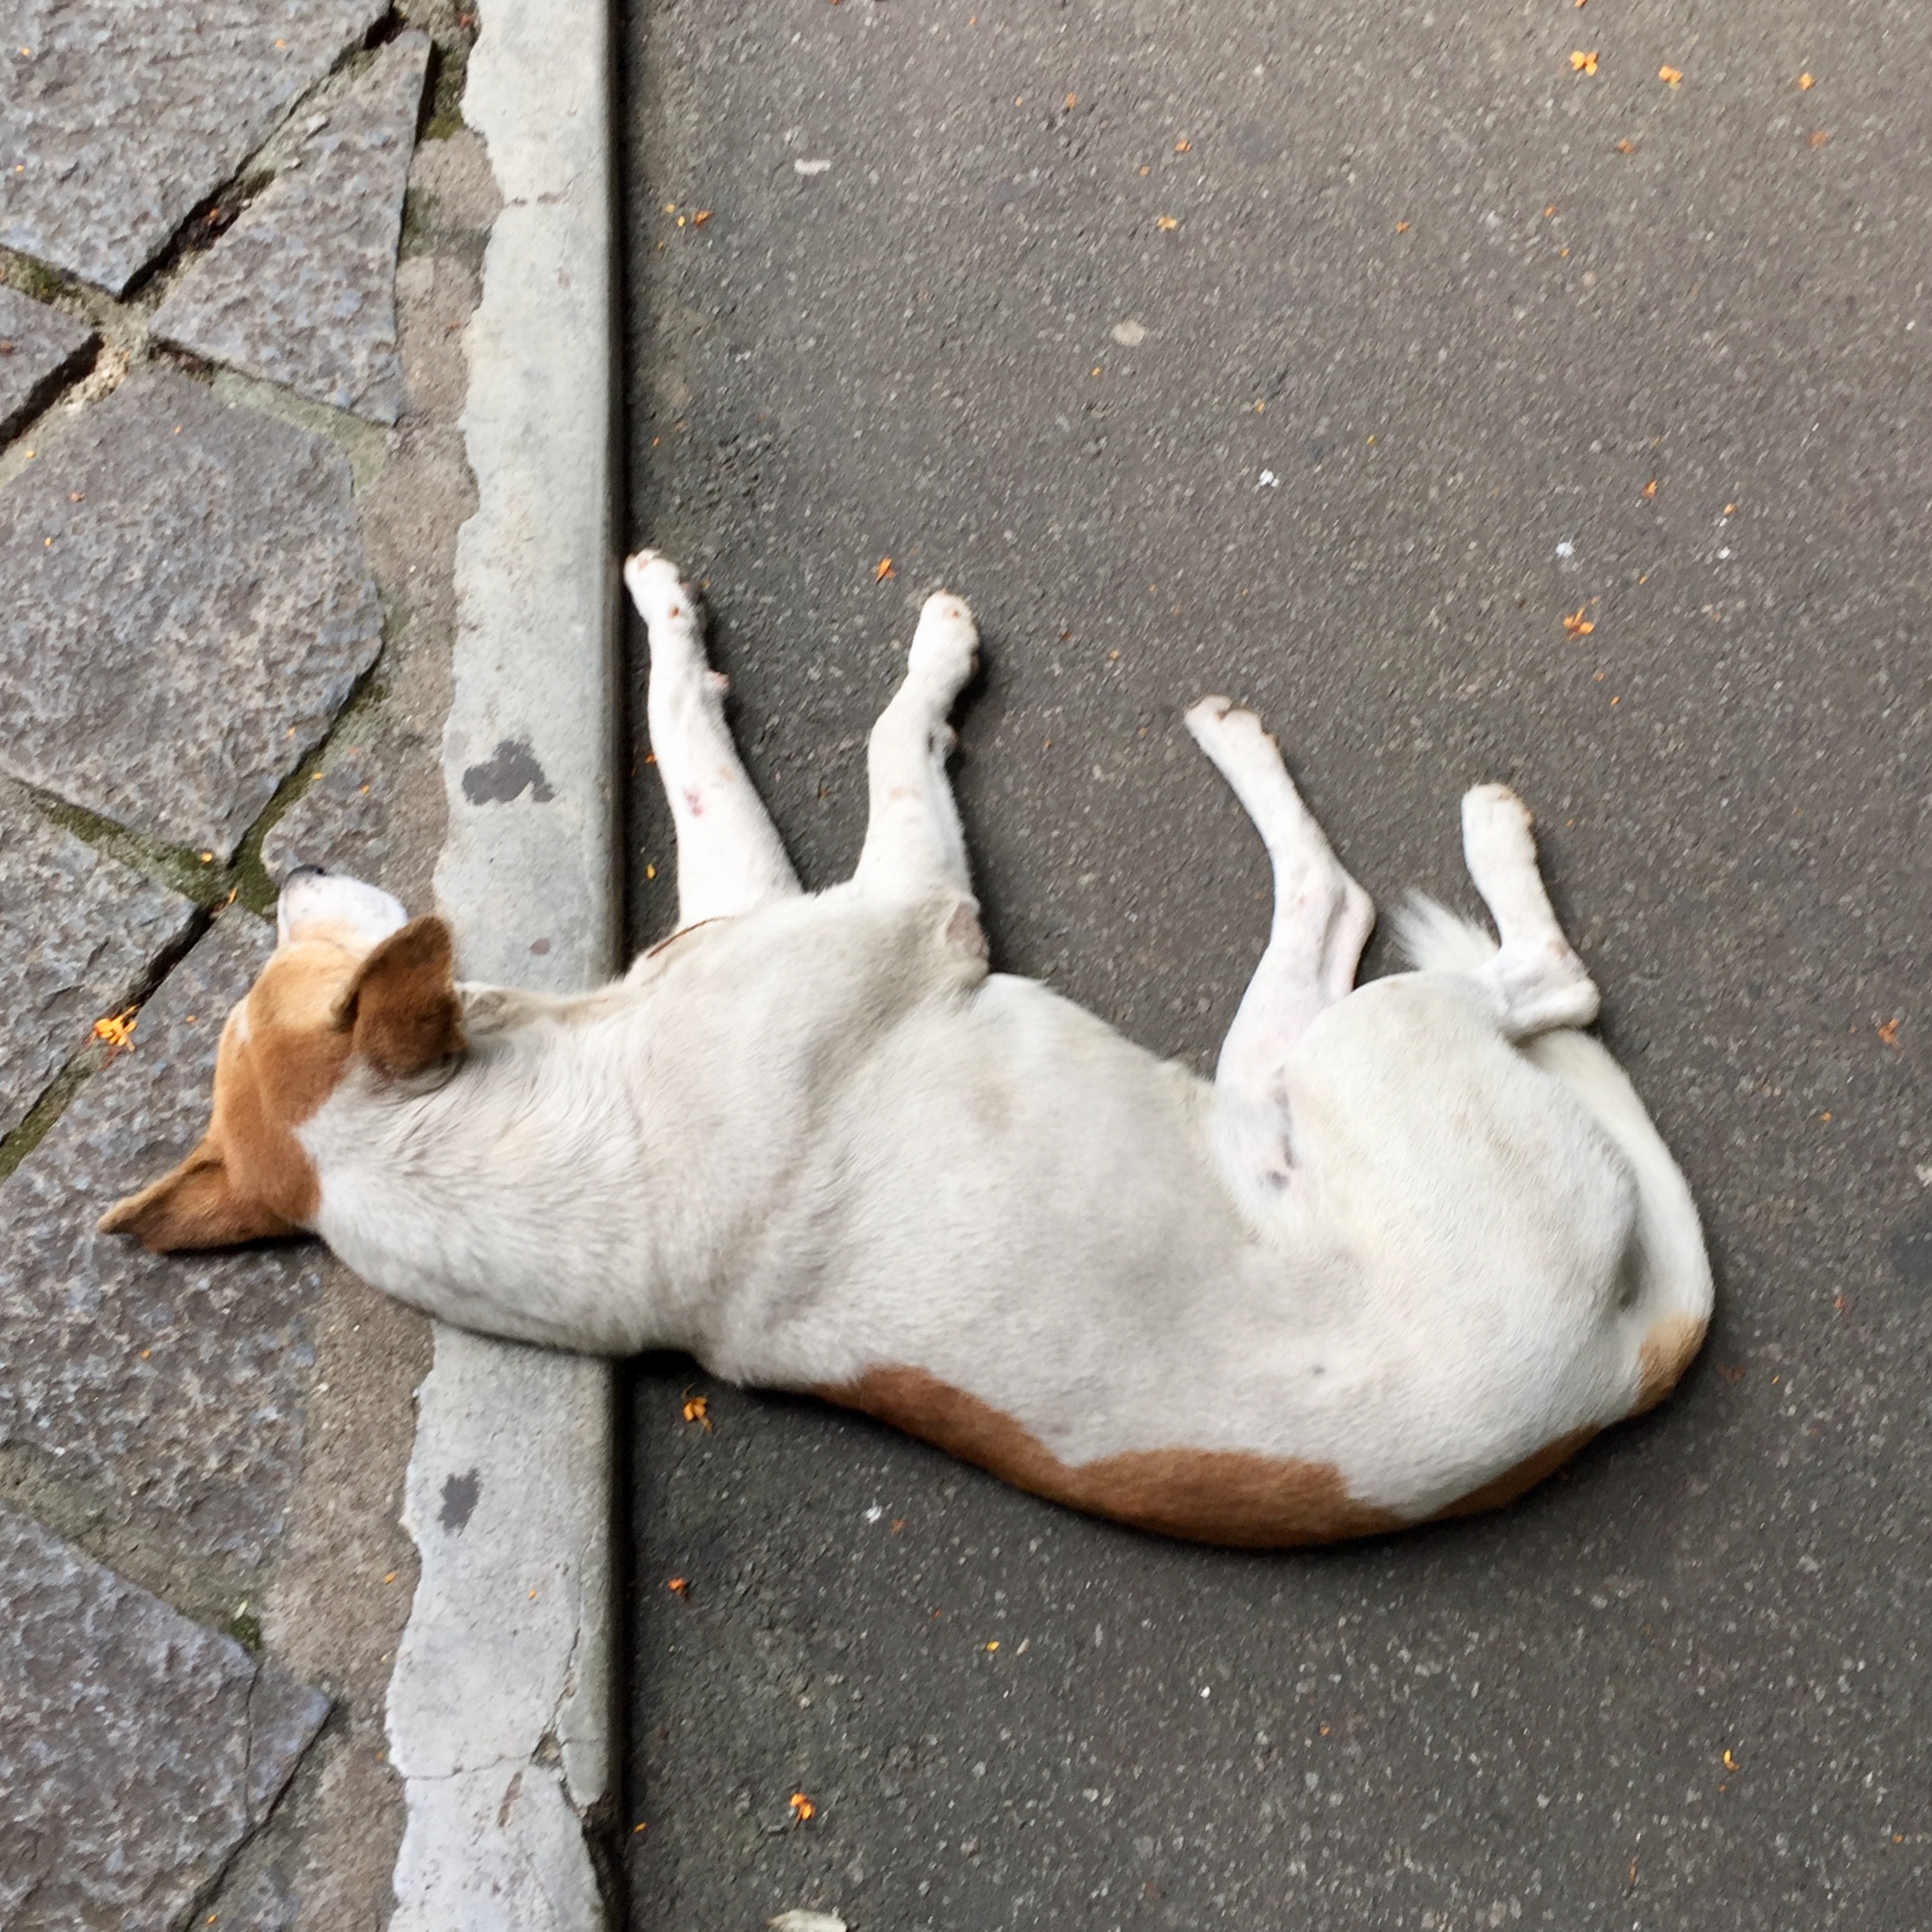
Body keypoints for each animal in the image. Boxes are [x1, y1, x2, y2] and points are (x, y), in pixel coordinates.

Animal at [101, 551, 1712, 1545]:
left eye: (279, 979)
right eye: (320, 974)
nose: (297, 866)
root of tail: (1608, 1371)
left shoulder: (753, 899)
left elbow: (691, 736)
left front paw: (660, 602)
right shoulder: (905, 902)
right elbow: (878, 742)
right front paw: (931, 657)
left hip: (1280, 1074)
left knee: (1349, 904)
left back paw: (1242, 748)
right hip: (1357, 1050)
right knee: (1517, 972)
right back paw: (1461, 839)